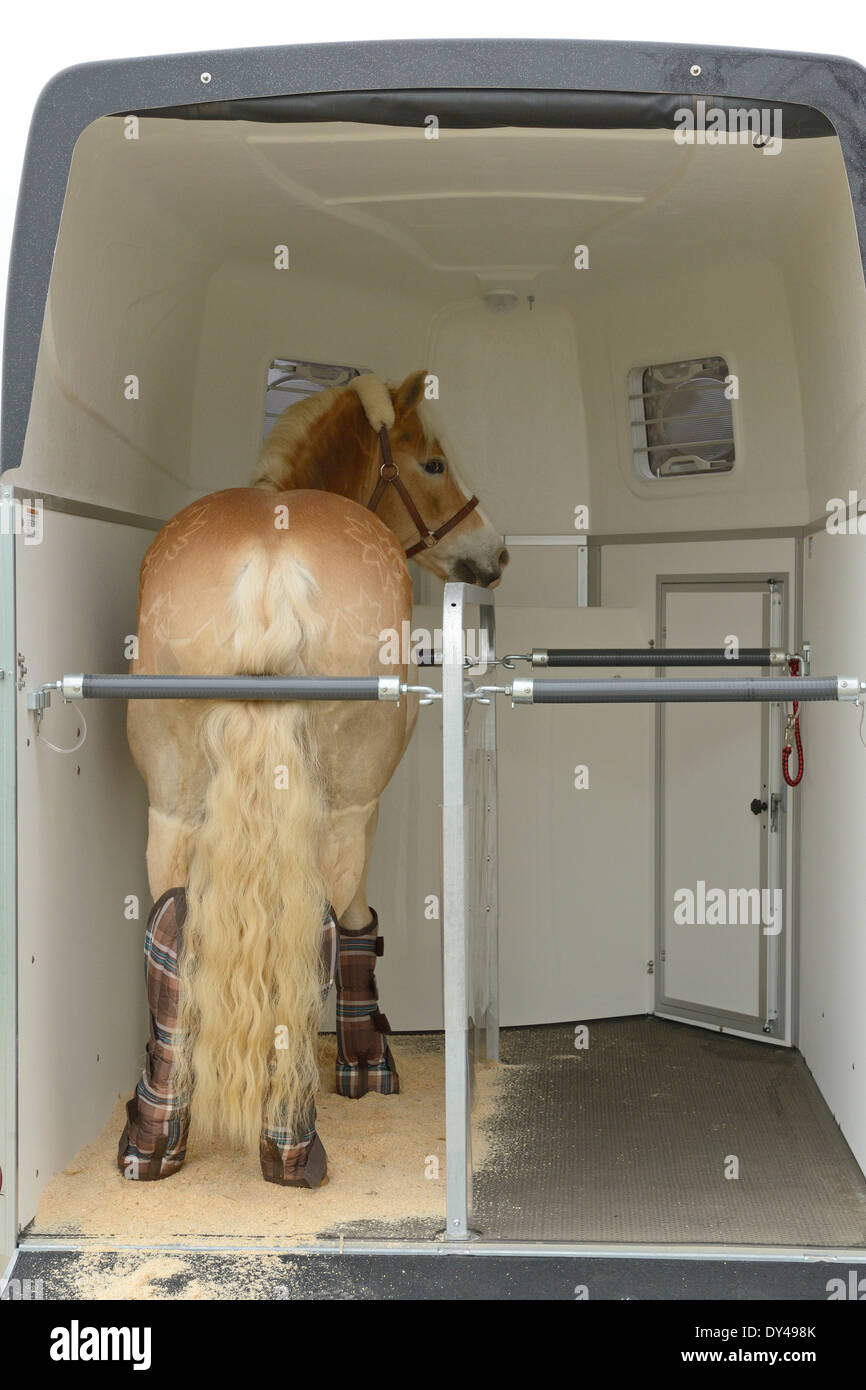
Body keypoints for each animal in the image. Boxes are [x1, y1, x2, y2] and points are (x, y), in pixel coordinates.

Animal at [118, 375, 505, 1189]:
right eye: (432, 462)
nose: (495, 552)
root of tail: (269, 573)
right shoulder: (362, 805)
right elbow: (355, 923)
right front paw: (368, 1058)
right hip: (345, 799)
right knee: (312, 926)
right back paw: (289, 1142)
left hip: (170, 803)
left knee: (174, 931)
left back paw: (156, 1135)